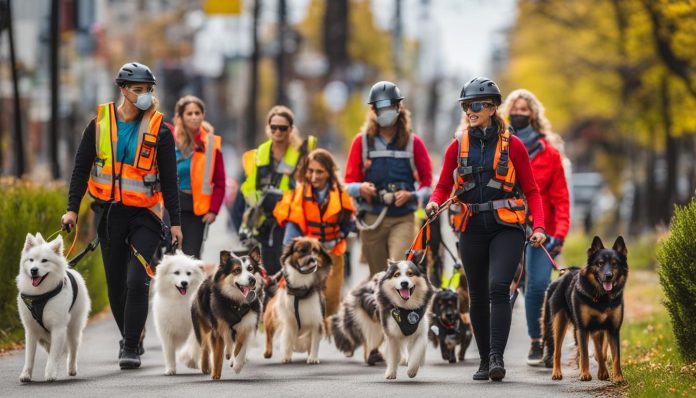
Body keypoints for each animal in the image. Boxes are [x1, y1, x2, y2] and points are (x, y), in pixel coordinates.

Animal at [16, 233, 91, 382]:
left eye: (44, 261)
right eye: (31, 260)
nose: (33, 270)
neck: (40, 294)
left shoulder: (58, 328)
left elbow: (54, 355)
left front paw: (50, 373)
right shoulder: (31, 330)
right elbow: (29, 356)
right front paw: (26, 374)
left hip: (74, 329)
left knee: (73, 350)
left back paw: (72, 369)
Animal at [190, 249, 264, 380]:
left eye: (251, 268)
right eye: (237, 270)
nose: (252, 279)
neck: (236, 303)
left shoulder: (246, 325)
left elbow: (240, 347)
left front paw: (237, 364)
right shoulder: (217, 328)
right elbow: (217, 353)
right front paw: (215, 374)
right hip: (201, 323)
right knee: (204, 344)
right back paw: (205, 366)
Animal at [264, 236, 334, 364]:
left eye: (315, 251)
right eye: (302, 251)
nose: (312, 259)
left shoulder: (317, 318)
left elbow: (315, 341)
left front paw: (313, 358)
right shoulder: (288, 320)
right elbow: (287, 339)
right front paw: (286, 356)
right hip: (271, 317)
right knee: (269, 335)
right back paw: (268, 352)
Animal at [540, 236, 628, 382]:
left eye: (615, 264)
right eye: (600, 263)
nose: (608, 276)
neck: (602, 297)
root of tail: (563, 275)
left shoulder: (612, 329)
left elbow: (615, 356)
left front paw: (617, 377)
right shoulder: (584, 328)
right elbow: (586, 353)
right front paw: (585, 374)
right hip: (559, 323)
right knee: (557, 351)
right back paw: (556, 372)